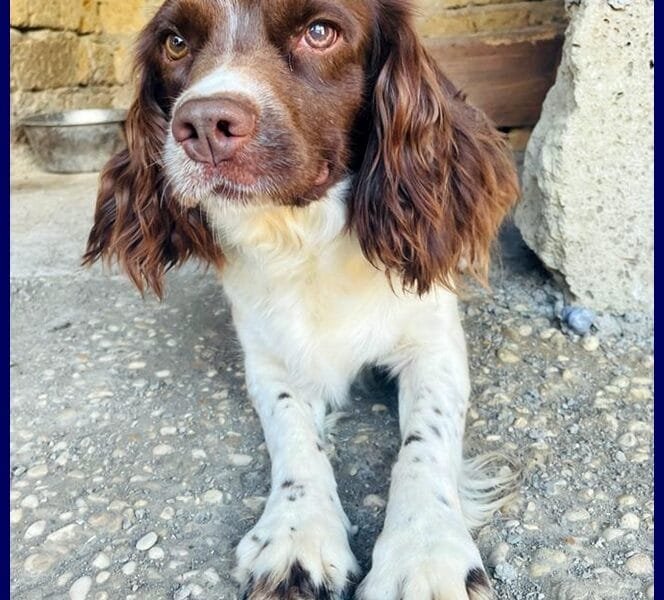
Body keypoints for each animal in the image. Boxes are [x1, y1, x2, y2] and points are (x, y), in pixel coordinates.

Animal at [81, 2, 520, 596]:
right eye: (175, 43)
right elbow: (293, 434)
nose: (202, 126)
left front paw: (424, 552)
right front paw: (297, 535)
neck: (304, 239)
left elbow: (424, 443)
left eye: (320, 32)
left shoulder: (435, 346)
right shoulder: (269, 359)